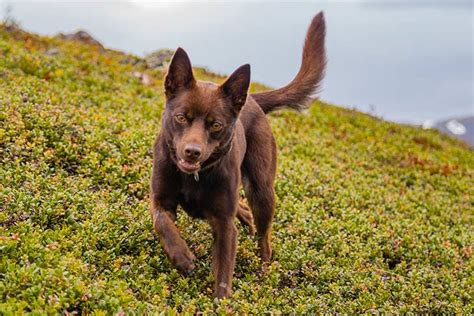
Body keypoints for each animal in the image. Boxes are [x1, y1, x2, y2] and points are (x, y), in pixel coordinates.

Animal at [149, 11, 326, 298]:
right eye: (181, 117)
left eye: (216, 125)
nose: (192, 152)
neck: (194, 177)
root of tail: (251, 98)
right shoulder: (161, 199)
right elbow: (163, 223)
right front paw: (182, 257)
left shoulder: (224, 225)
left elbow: (223, 274)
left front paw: (221, 301)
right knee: (244, 211)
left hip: (262, 190)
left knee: (264, 238)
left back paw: (263, 271)